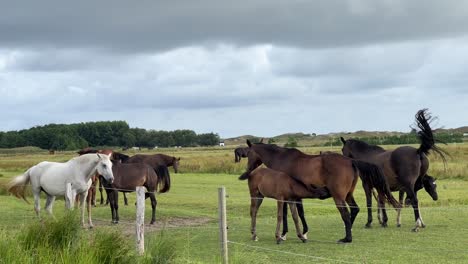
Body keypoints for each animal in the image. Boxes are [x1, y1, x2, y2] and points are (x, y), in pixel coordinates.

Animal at [241, 140, 398, 243]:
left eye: (248, 154)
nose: (248, 169)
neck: (282, 159)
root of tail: (350, 161)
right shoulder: (294, 196)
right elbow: (299, 213)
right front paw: (303, 233)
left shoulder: (286, 196)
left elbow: (288, 214)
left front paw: (286, 234)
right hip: (348, 195)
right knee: (354, 209)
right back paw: (349, 231)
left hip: (338, 197)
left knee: (345, 213)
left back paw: (346, 238)